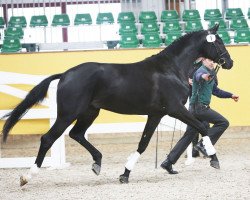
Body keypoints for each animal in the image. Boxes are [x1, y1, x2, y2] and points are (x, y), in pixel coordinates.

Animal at [1, 24, 232, 185]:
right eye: (218, 43)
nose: (230, 62)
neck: (170, 69)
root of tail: (65, 74)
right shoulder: (176, 109)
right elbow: (201, 127)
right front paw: (212, 159)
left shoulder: (156, 114)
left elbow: (143, 144)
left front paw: (125, 174)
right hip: (68, 114)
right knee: (48, 138)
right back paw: (27, 177)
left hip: (90, 112)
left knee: (77, 134)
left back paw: (97, 163)